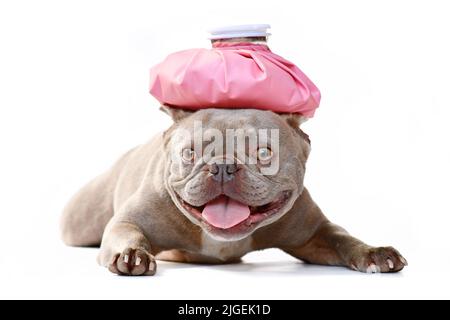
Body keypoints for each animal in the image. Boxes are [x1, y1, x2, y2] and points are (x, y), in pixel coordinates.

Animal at [60, 107, 408, 276]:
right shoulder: (130, 221)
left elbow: (342, 238)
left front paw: (373, 252)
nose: (223, 167)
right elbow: (127, 232)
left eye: (265, 152)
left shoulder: (313, 234)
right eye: (189, 153)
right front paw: (131, 255)